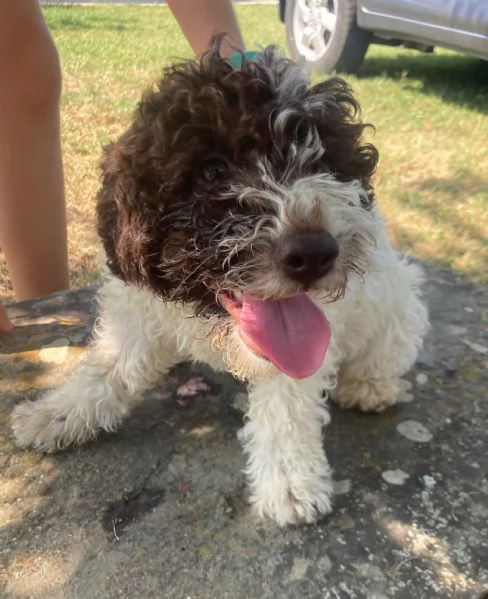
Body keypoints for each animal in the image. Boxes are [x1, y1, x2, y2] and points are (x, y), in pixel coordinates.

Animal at [12, 42, 428, 528]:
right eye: (213, 171)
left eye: (321, 160)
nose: (316, 254)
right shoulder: (139, 310)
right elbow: (110, 365)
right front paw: (58, 414)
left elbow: (286, 407)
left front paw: (289, 483)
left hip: (399, 303)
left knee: (388, 348)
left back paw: (370, 387)